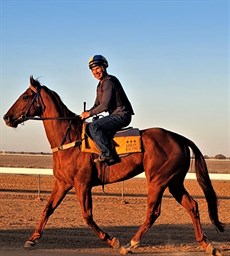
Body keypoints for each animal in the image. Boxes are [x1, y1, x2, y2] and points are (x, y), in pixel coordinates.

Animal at [2, 75, 224, 254]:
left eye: (25, 96)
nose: (6, 117)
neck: (70, 139)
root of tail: (179, 137)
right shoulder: (62, 183)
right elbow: (48, 208)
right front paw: (32, 239)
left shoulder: (82, 184)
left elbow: (87, 216)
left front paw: (113, 241)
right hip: (174, 181)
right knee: (192, 205)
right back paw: (206, 245)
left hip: (158, 180)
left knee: (153, 211)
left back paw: (131, 243)